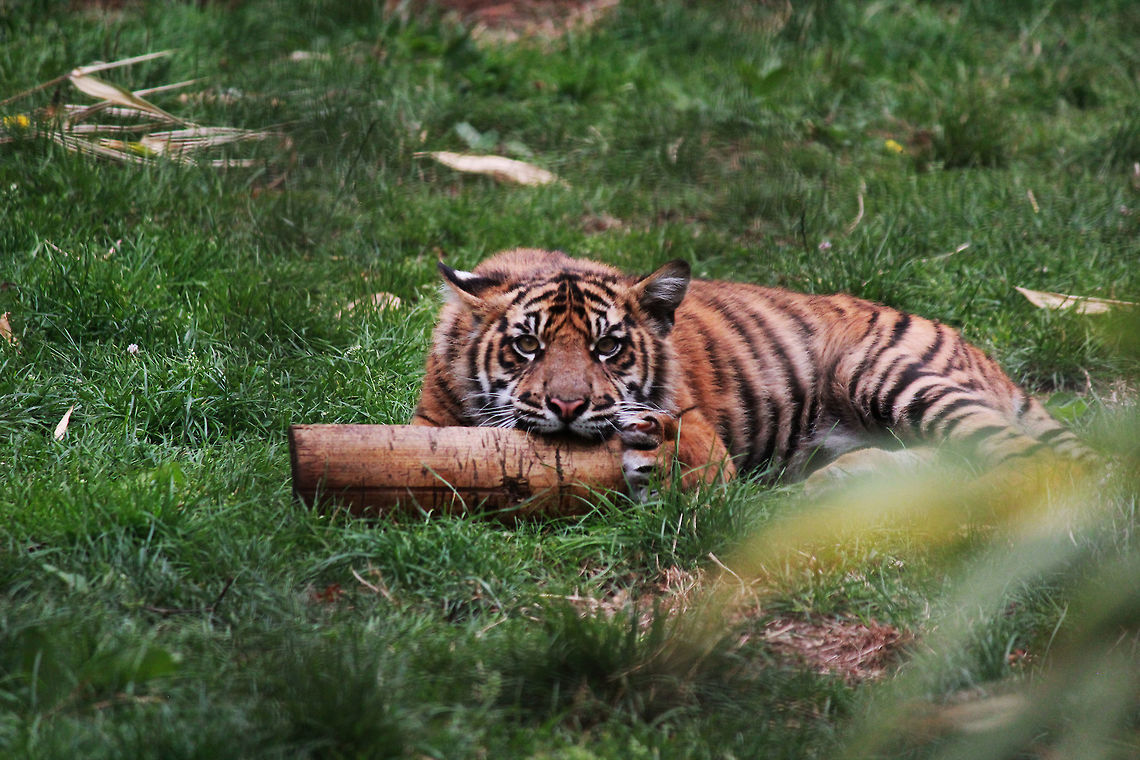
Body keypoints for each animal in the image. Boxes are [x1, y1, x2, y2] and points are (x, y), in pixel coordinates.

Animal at [413, 248, 1092, 500]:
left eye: (608, 348)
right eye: (527, 345)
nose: (569, 407)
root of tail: (979, 351)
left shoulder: (697, 426)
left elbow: (692, 450)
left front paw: (659, 454)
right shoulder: (427, 423)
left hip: (885, 372)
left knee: (1025, 460)